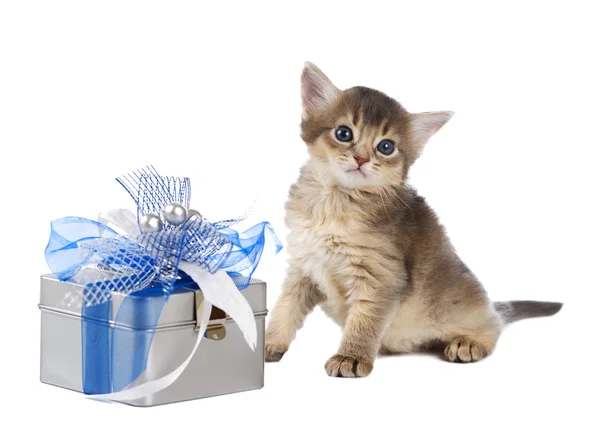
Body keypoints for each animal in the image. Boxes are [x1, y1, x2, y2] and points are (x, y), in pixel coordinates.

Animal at [264, 61, 564, 376]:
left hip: (466, 311)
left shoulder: (382, 276)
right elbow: (286, 308)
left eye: (386, 147)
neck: (332, 203)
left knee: (493, 326)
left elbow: (363, 322)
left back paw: (469, 343)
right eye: (344, 133)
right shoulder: (303, 266)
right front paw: (269, 343)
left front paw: (351, 357)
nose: (361, 159)